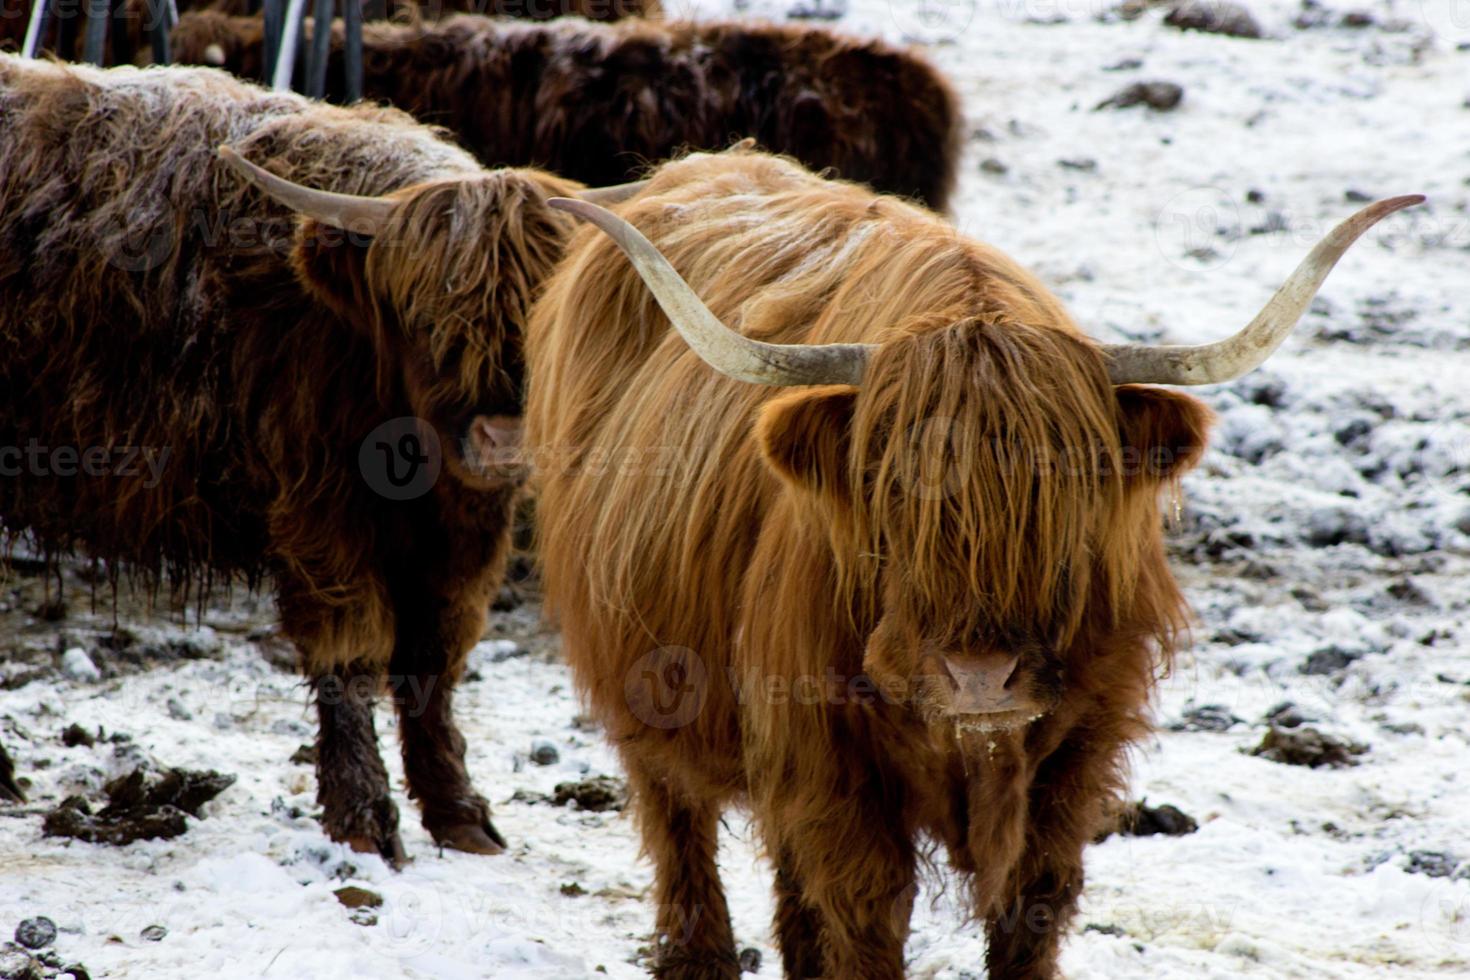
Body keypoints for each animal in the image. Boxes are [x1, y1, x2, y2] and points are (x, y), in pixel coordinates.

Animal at [0, 53, 643, 863]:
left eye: (546, 314)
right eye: (429, 319)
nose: (505, 438)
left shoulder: (463, 535)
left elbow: (433, 661)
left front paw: (458, 812)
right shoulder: (323, 516)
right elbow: (353, 654)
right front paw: (364, 818)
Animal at [523, 147, 1419, 977]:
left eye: (1066, 491)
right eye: (891, 493)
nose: (981, 679)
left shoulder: (1073, 763)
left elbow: (1030, 912)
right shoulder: (832, 770)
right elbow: (865, 917)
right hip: (647, 689)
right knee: (679, 827)